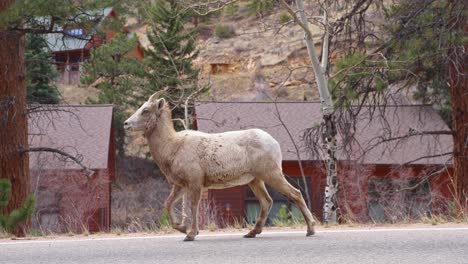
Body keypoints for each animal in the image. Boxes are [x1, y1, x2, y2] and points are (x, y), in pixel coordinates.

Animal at [124, 92, 314, 241]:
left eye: (145, 110)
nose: (126, 124)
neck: (173, 147)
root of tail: (274, 143)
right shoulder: (180, 185)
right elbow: (168, 204)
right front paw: (183, 229)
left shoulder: (195, 182)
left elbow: (193, 206)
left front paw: (190, 234)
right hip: (255, 180)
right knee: (267, 201)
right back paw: (251, 233)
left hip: (271, 174)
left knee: (295, 194)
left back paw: (310, 230)